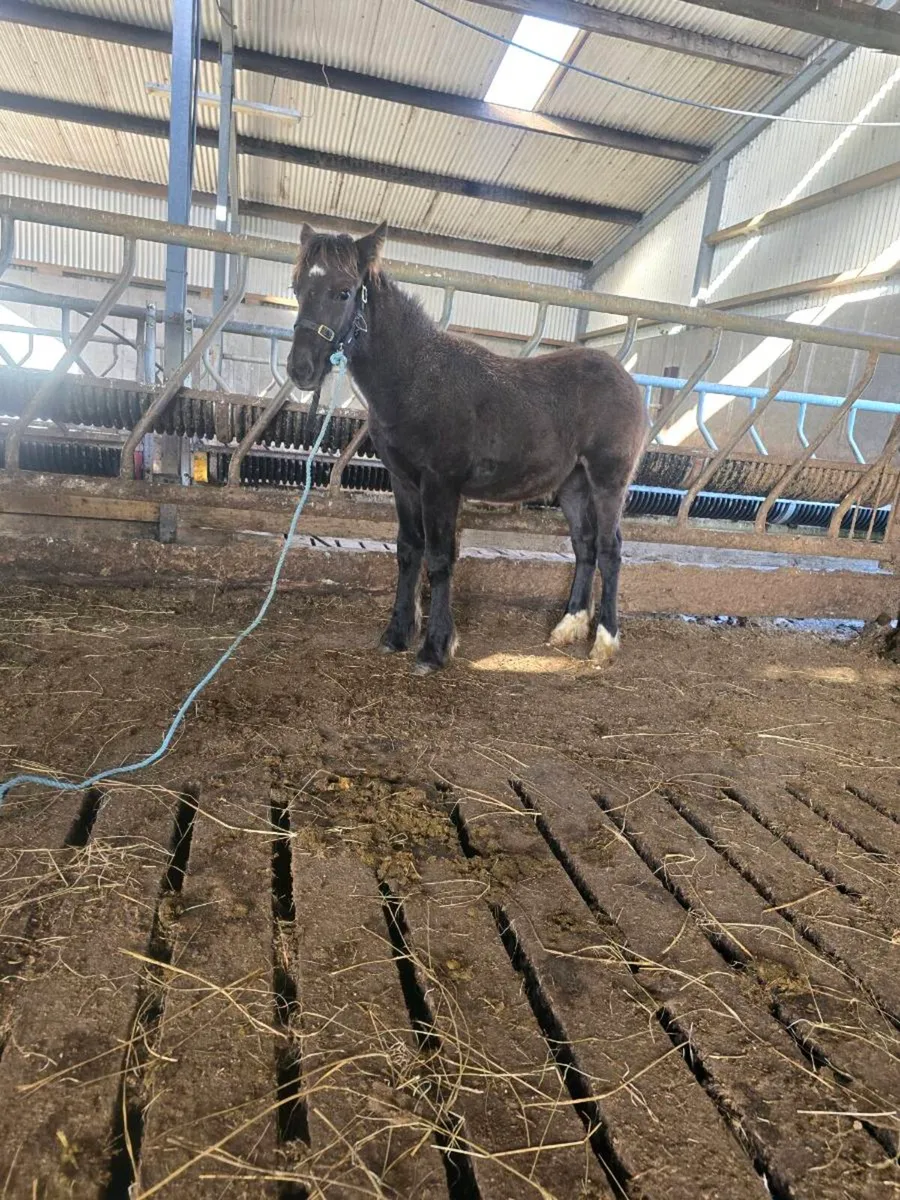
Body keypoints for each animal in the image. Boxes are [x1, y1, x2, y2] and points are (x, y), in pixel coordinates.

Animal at [287, 222, 648, 675]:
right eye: (297, 287)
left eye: (343, 292)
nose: (300, 370)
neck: (416, 379)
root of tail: (628, 380)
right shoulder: (403, 482)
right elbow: (409, 550)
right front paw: (396, 635)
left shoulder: (441, 484)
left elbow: (441, 558)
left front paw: (435, 649)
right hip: (573, 485)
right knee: (584, 545)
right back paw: (568, 627)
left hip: (607, 481)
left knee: (609, 549)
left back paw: (604, 641)